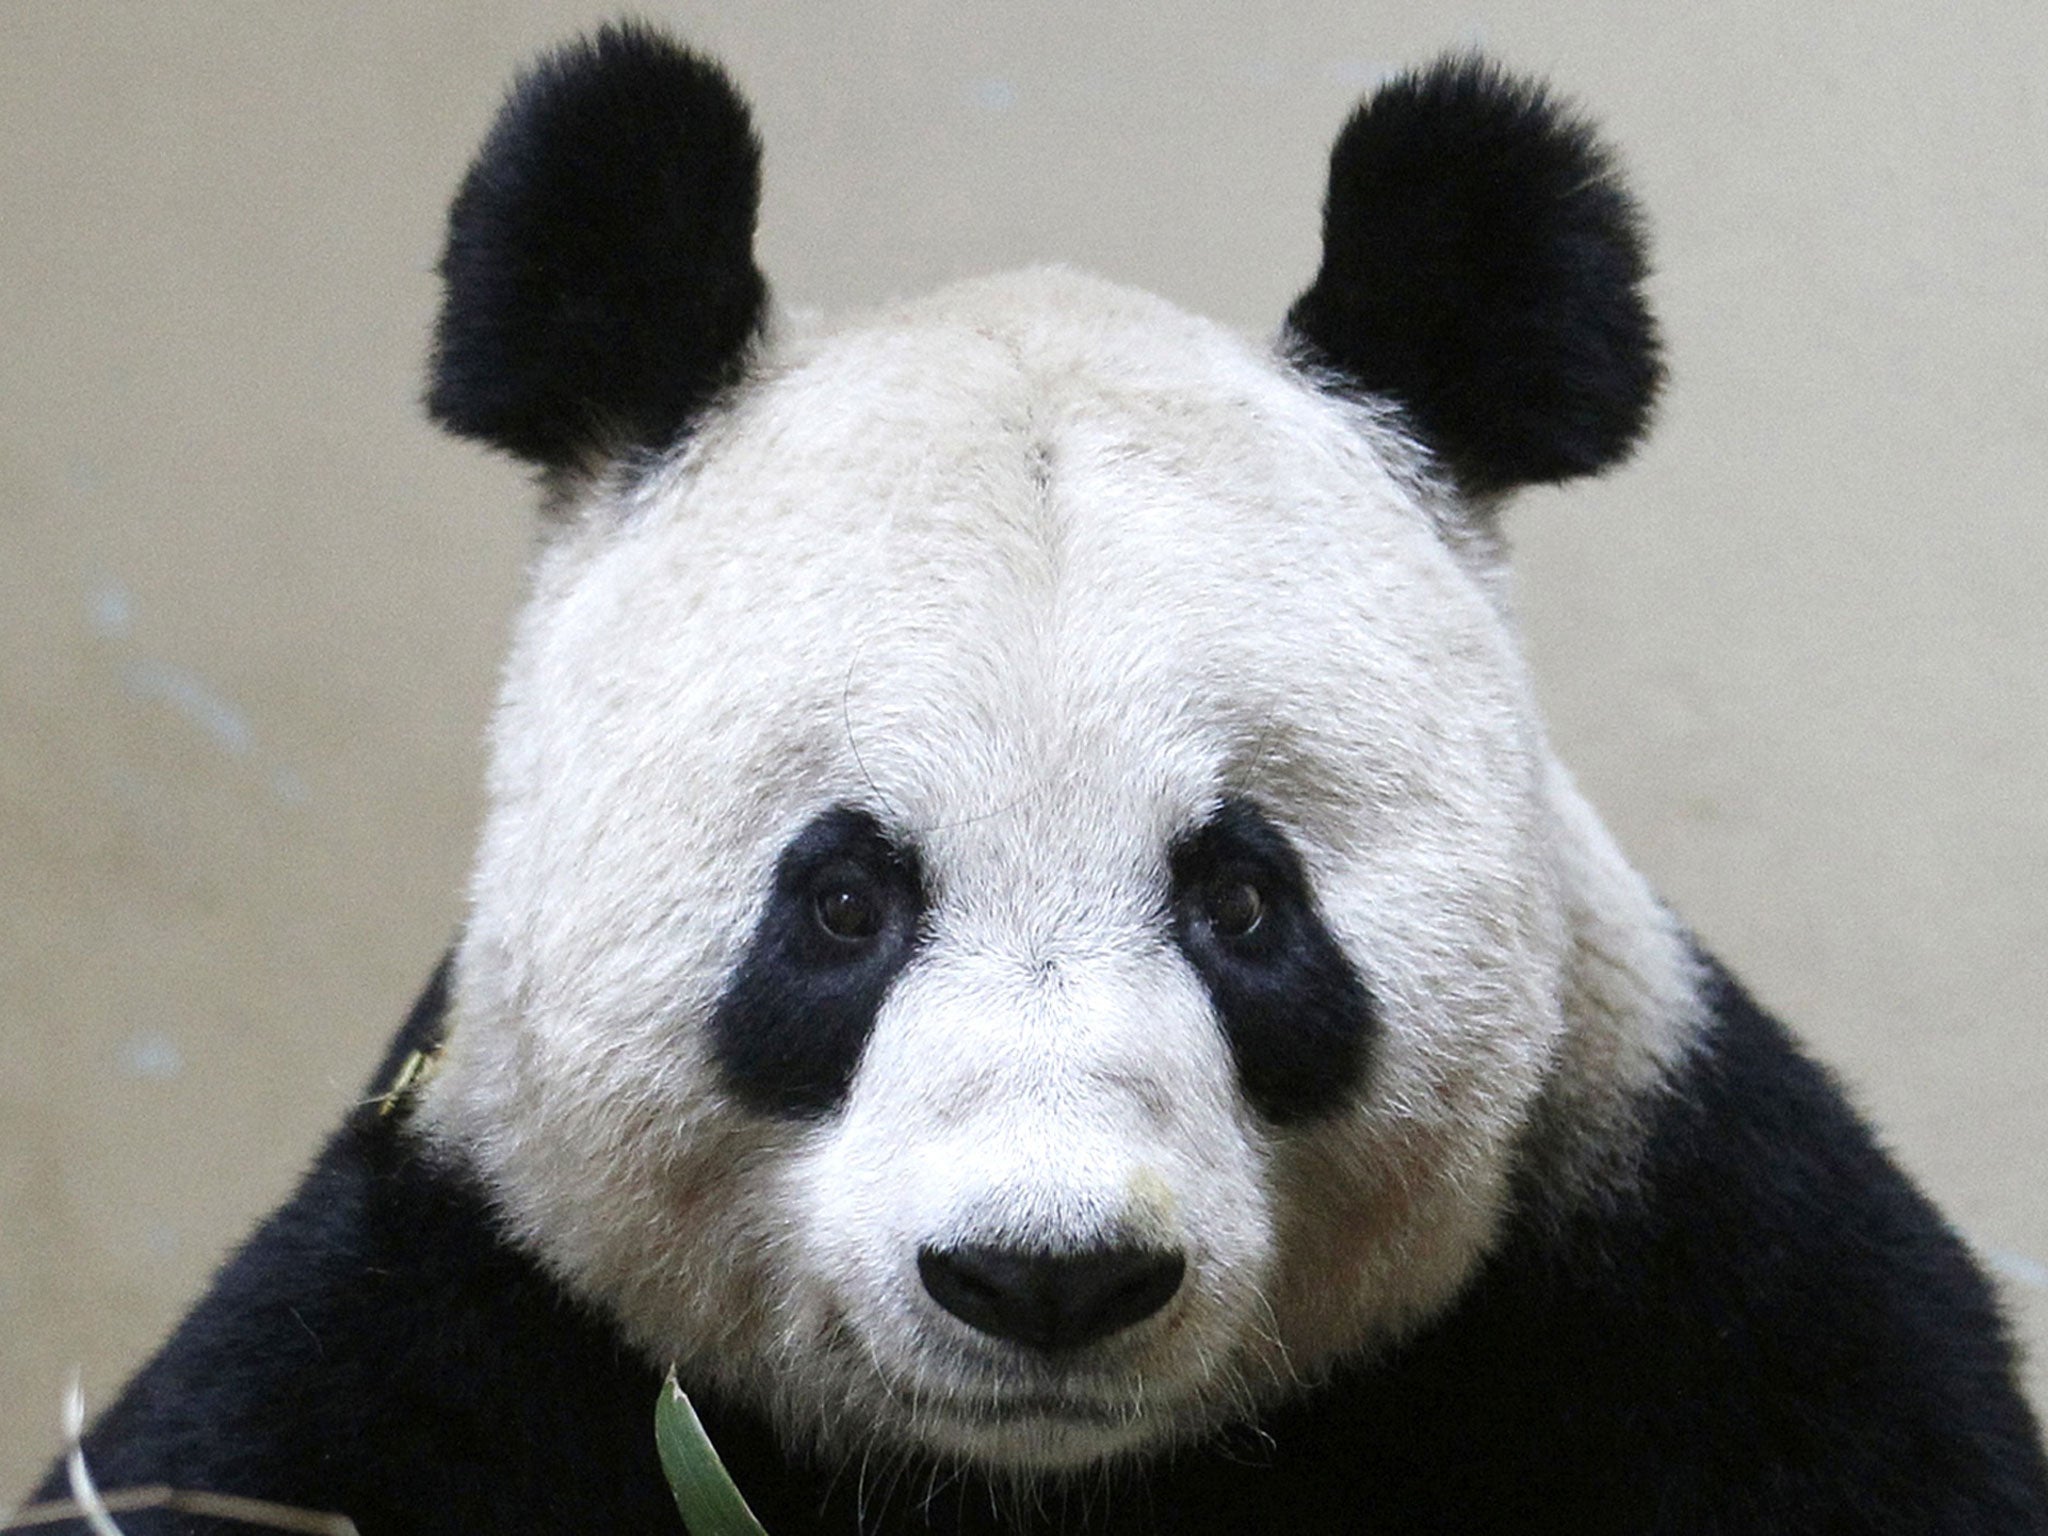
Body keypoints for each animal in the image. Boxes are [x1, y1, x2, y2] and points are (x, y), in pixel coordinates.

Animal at [28, 24, 2048, 1536]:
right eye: (843, 900)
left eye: (1245, 900)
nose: (1047, 1275)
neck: (1024, 1487)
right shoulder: (444, 1310)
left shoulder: (1681, 1282)